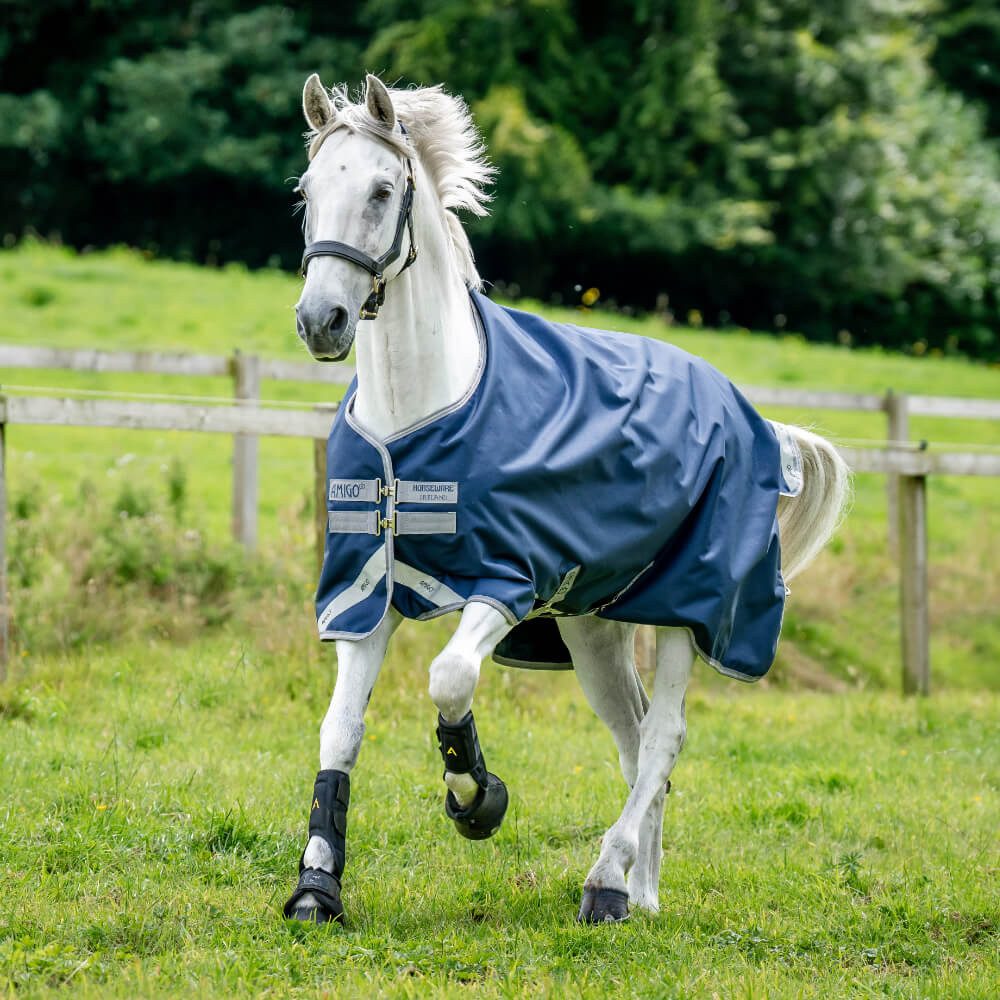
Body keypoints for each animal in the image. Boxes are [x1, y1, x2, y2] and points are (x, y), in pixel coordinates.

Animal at [282, 74, 851, 925]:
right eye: (309, 192)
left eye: (382, 191)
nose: (323, 321)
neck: (415, 422)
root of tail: (740, 406)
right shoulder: (363, 594)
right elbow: (339, 730)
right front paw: (317, 889)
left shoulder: (508, 582)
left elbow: (449, 678)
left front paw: (477, 800)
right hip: (595, 628)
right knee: (636, 739)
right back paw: (641, 892)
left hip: (688, 613)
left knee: (663, 738)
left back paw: (607, 884)